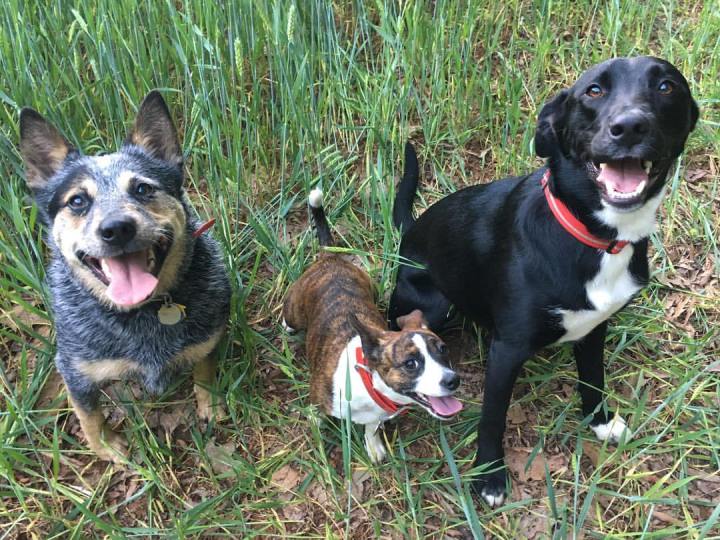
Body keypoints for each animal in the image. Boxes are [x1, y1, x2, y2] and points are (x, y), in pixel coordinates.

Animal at [18, 90, 231, 462]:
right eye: (77, 200)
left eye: (143, 189)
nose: (116, 228)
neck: (142, 315)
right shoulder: (75, 368)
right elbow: (88, 412)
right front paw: (104, 445)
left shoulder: (207, 338)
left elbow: (205, 370)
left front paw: (211, 404)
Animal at [388, 57, 696, 508]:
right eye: (594, 91)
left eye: (666, 86)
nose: (630, 127)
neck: (597, 238)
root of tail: (411, 232)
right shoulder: (507, 349)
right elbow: (492, 418)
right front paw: (489, 477)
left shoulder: (595, 329)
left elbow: (593, 380)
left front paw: (601, 423)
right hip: (433, 304)